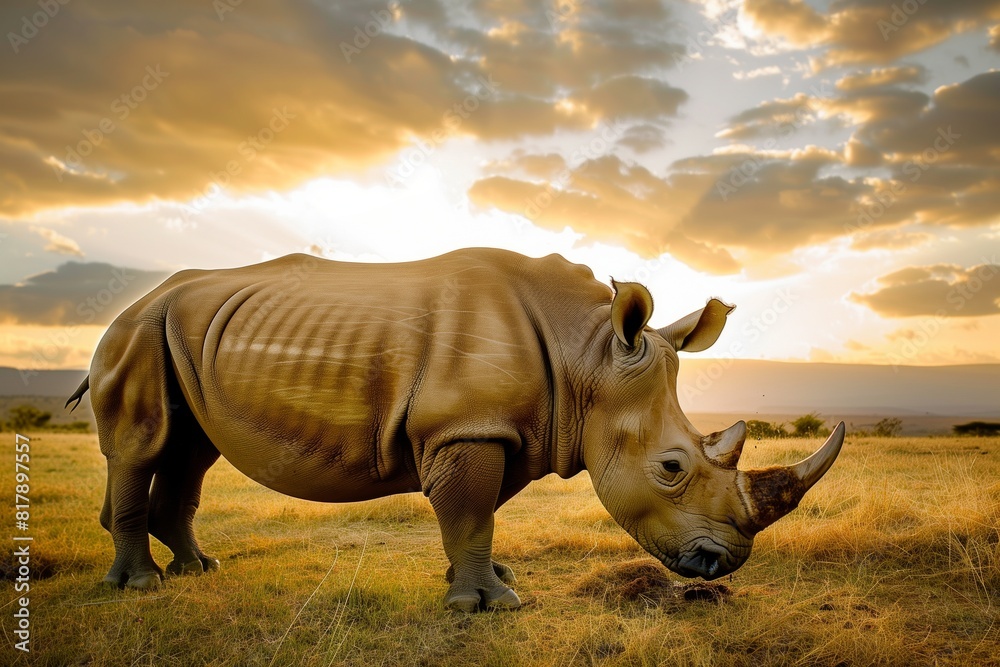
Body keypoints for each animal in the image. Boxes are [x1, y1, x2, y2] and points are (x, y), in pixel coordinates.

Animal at [67, 248, 843, 612]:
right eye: (672, 468)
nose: (724, 564)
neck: (587, 355)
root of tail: (136, 302)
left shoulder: (498, 427)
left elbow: (479, 512)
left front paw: (487, 582)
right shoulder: (465, 427)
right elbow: (471, 512)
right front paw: (488, 606)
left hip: (178, 336)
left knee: (190, 451)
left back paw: (199, 569)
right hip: (138, 332)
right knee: (142, 446)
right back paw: (141, 588)